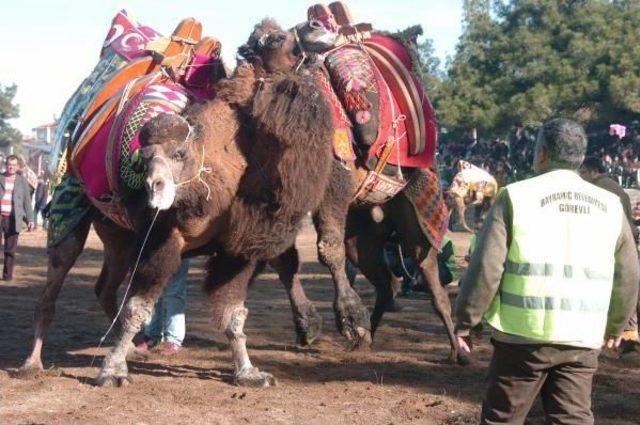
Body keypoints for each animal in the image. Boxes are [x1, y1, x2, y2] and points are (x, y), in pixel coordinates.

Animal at [236, 17, 464, 362]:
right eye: (268, 39)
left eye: (276, 37)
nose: (313, 26)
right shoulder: (276, 201)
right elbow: (281, 255)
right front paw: (309, 327)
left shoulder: (333, 185)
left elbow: (328, 248)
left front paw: (349, 319)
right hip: (365, 227)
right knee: (386, 281)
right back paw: (367, 337)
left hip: (418, 209)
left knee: (426, 271)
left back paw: (455, 349)